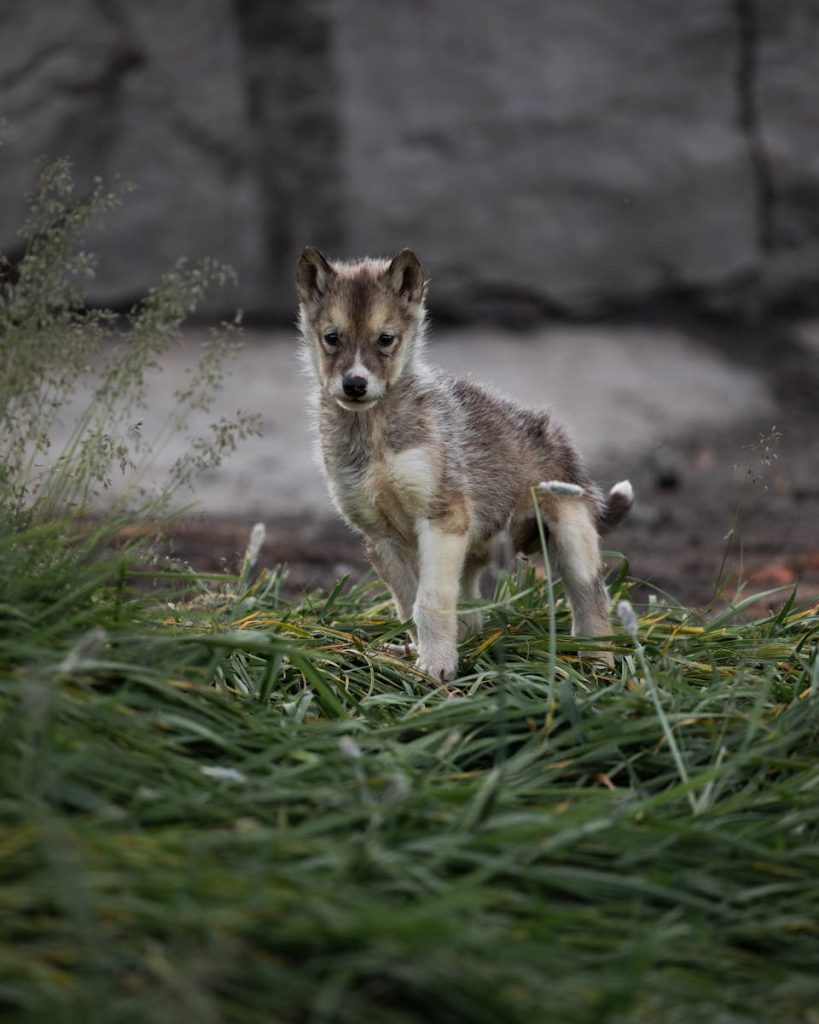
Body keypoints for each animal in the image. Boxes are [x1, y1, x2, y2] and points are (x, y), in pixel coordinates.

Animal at [296, 247, 633, 681]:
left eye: (385, 339)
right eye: (332, 338)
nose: (355, 385)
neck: (372, 432)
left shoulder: (443, 516)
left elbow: (431, 600)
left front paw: (436, 668)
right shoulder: (379, 537)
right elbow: (409, 604)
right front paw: (422, 658)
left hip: (571, 538)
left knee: (592, 603)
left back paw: (598, 666)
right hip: (475, 550)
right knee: (471, 614)